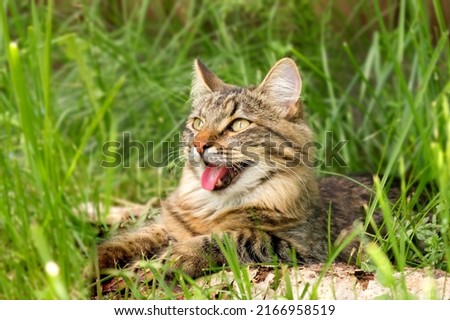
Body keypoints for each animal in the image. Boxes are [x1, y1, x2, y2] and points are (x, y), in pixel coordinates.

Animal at [96, 57, 382, 282]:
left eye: (238, 125)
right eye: (197, 123)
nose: (199, 145)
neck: (214, 206)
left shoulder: (305, 247)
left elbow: (234, 238)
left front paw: (176, 256)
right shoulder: (165, 226)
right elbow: (126, 239)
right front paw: (90, 265)